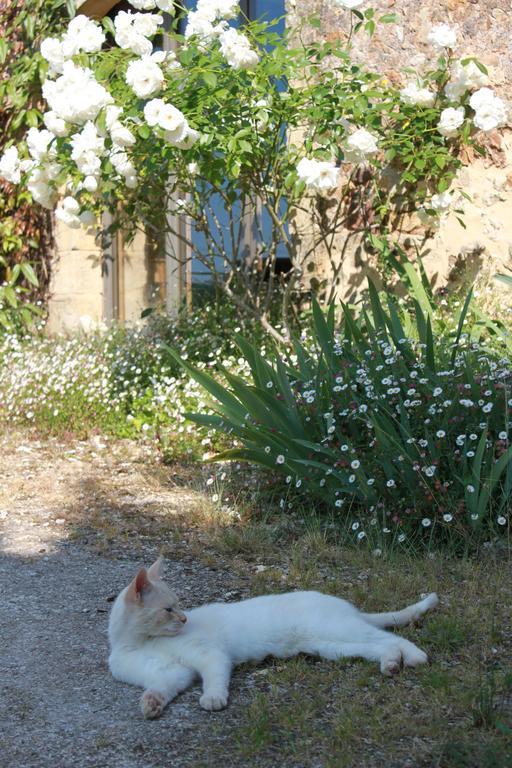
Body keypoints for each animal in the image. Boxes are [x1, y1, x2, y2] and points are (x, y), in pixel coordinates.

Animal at [108, 556, 440, 716]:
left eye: (179, 605)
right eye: (169, 609)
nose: (184, 618)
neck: (141, 641)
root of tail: (347, 606)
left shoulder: (209, 655)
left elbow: (214, 678)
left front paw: (213, 698)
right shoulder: (172, 672)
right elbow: (162, 686)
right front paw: (151, 704)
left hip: (336, 630)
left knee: (390, 638)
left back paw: (415, 657)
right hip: (332, 646)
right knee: (378, 645)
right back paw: (391, 664)